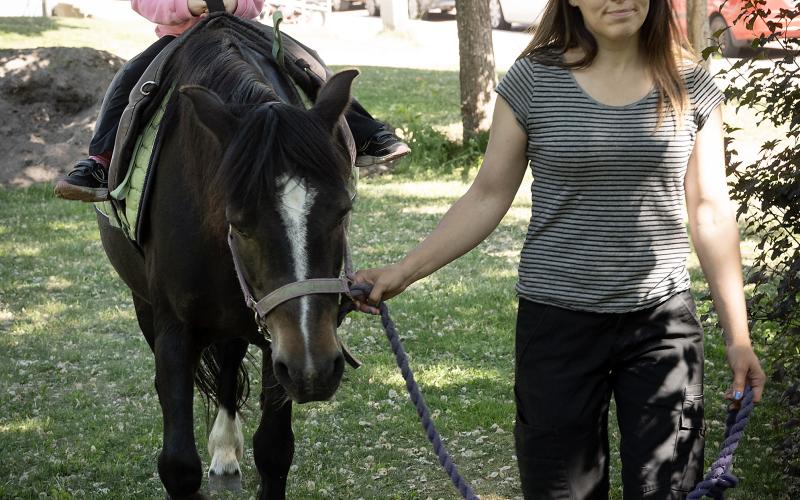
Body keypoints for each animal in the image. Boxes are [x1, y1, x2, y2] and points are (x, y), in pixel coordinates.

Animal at [99, 15, 360, 500]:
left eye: (343, 211)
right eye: (237, 222)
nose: (315, 370)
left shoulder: (279, 338)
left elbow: (274, 449)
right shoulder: (174, 331)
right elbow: (178, 464)